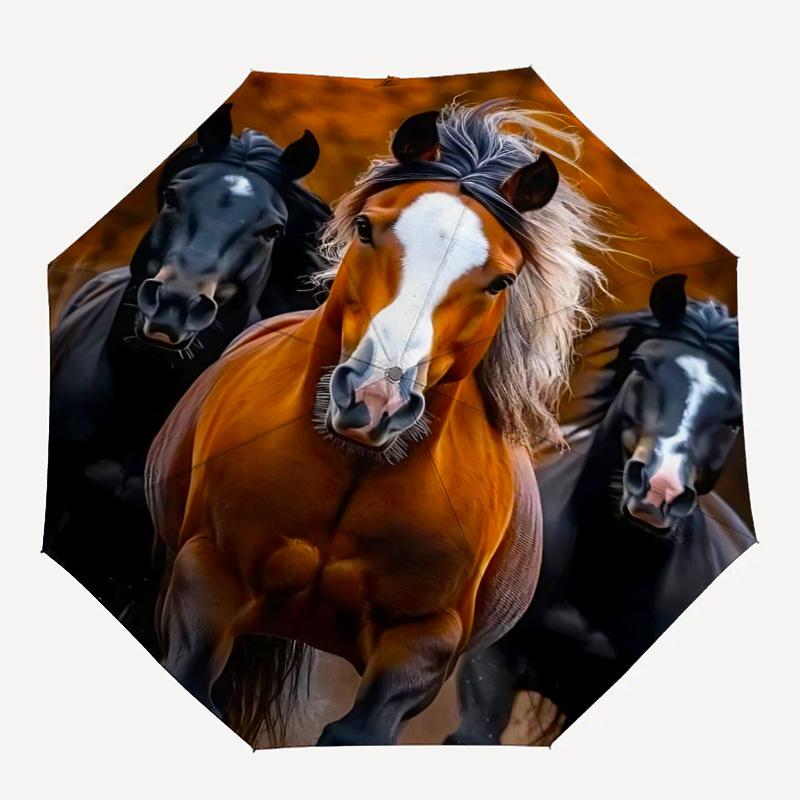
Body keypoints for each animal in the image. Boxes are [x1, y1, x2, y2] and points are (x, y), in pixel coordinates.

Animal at [144, 101, 610, 746]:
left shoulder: (423, 642)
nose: (373, 398)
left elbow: (354, 732)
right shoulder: (206, 572)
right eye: (366, 228)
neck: (352, 473)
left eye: (501, 281)